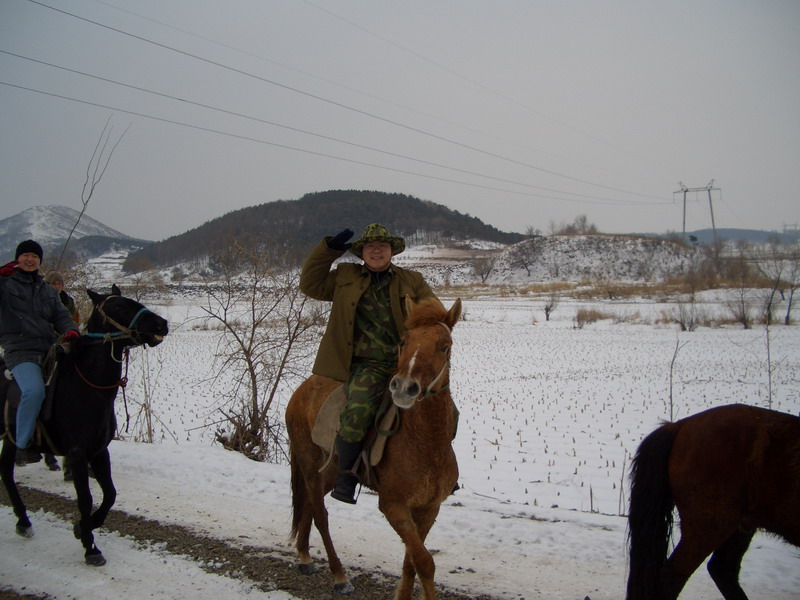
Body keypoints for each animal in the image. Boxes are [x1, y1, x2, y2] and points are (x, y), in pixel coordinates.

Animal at [1, 284, 167, 564]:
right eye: (118, 306)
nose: (161, 324)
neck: (88, 387)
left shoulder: (99, 451)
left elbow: (110, 494)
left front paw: (83, 527)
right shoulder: (78, 454)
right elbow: (86, 499)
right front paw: (91, 547)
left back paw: (24, 520)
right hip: (10, 439)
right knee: (7, 474)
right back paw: (23, 520)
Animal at [286, 298, 462, 596]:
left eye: (444, 345)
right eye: (404, 341)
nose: (404, 387)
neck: (426, 443)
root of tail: (302, 390)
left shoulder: (428, 509)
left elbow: (411, 563)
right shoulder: (393, 506)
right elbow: (425, 562)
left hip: (331, 472)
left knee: (310, 504)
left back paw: (305, 557)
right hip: (308, 465)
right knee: (321, 515)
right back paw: (339, 576)